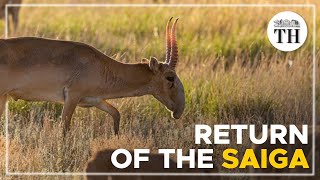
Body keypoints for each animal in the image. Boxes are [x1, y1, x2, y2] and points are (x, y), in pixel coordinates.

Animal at [0, 17, 185, 135]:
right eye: (170, 77)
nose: (179, 110)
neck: (100, 65)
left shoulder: (95, 100)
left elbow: (116, 113)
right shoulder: (72, 97)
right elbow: (64, 129)